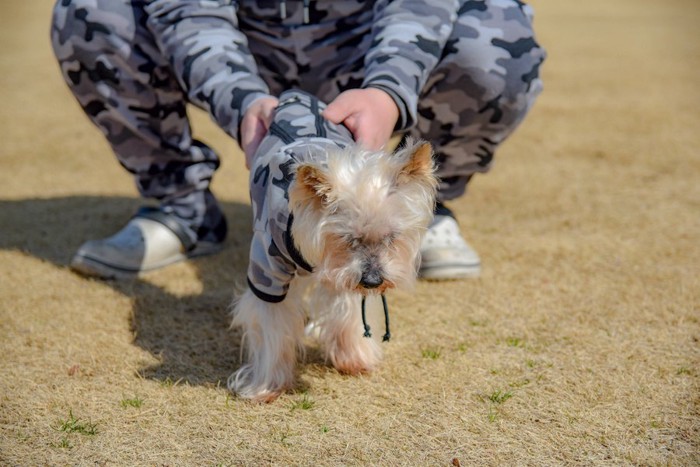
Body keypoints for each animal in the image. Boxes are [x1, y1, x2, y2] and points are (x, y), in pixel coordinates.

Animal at [230, 91, 438, 402]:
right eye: (348, 239)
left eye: (391, 237)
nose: (373, 281)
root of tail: (298, 96)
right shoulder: (268, 272)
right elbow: (272, 331)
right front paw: (266, 386)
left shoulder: (346, 275)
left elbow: (348, 312)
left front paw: (354, 358)